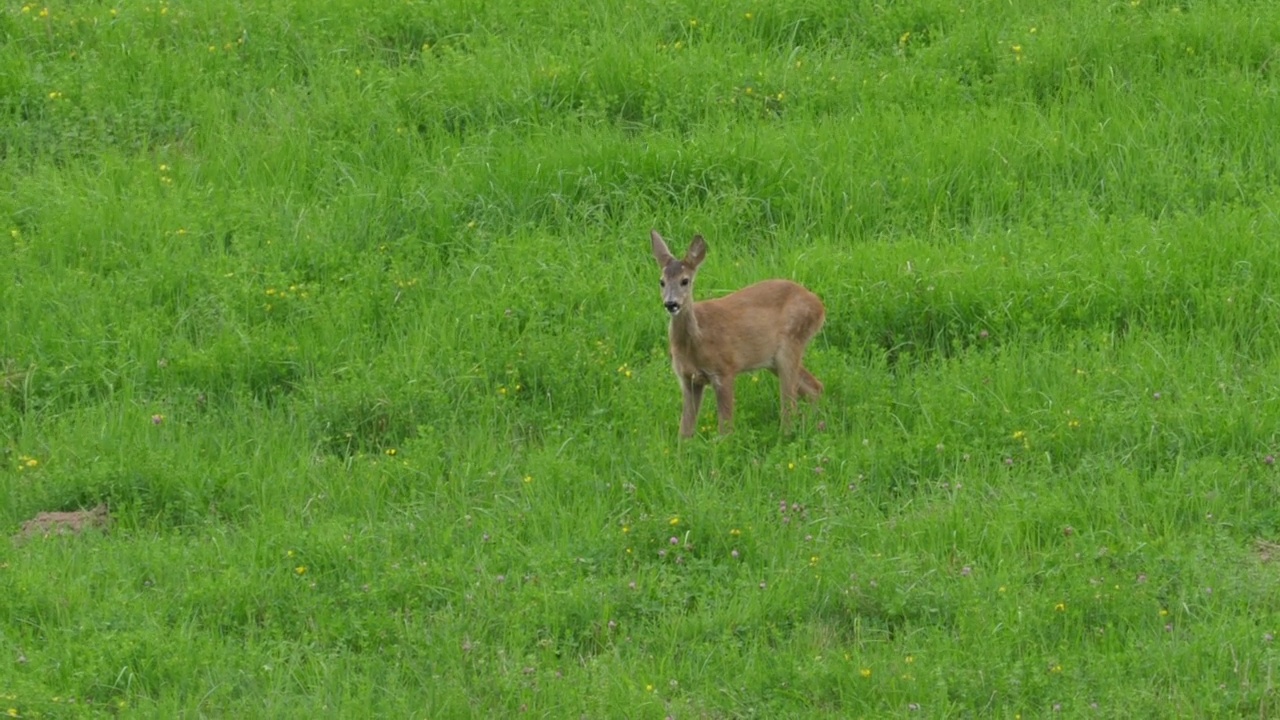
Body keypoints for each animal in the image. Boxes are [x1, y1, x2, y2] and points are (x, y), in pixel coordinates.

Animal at [650, 228, 829, 438]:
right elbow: (685, 431)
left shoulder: (724, 369)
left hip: (792, 342)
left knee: (789, 405)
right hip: (772, 360)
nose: (671, 303)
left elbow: (726, 429)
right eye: (661, 282)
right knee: (814, 387)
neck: (696, 341)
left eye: (685, 281)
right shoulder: (688, 378)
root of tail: (819, 306)